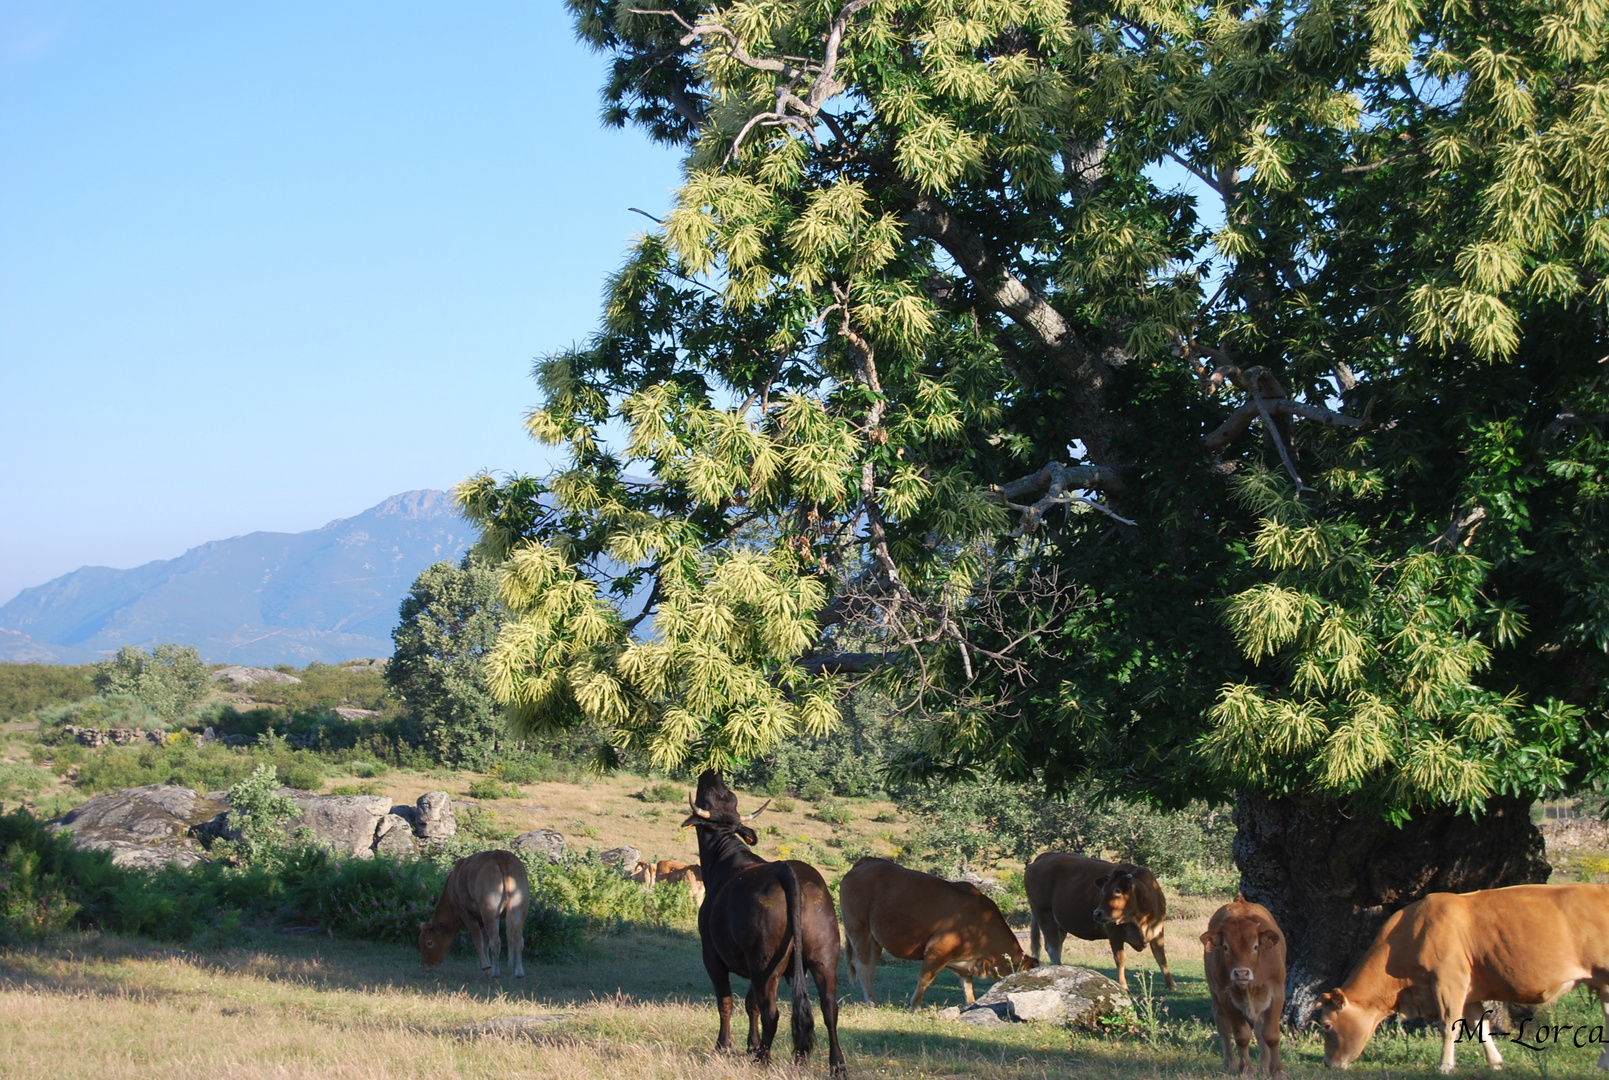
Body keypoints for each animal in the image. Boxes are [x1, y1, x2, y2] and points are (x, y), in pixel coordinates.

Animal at [685, 772, 849, 1075]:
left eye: (707, 795)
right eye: (726, 794)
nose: (712, 772)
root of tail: (788, 868)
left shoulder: (712, 955)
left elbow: (726, 1002)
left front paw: (724, 1046)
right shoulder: (751, 966)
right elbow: (751, 1004)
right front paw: (751, 1043)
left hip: (765, 962)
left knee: (772, 1012)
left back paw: (763, 1058)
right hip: (823, 956)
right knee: (829, 1009)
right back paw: (832, 1064)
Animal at [843, 856, 1029, 1010]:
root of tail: (867, 861)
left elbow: (967, 984)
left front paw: (971, 1004)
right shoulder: (937, 950)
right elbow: (925, 979)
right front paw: (915, 1006)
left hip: (875, 940)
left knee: (871, 966)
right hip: (858, 929)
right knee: (862, 965)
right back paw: (871, 1002)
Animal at [1023, 856, 1177, 991]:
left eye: (1117, 891)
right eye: (1102, 891)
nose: (1096, 913)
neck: (1141, 918)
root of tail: (1044, 857)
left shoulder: (1158, 929)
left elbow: (1161, 957)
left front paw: (1171, 985)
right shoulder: (1114, 931)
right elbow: (1120, 959)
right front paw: (1124, 986)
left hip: (1059, 924)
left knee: (1057, 947)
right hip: (1044, 914)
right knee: (1052, 948)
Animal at [1203, 894, 1287, 1080]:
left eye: (1255, 946)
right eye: (1225, 947)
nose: (1241, 973)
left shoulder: (1277, 994)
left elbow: (1270, 1035)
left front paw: (1277, 1070)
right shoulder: (1226, 998)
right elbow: (1241, 1036)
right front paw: (1247, 1069)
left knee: (1260, 1030)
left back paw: (1264, 1066)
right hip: (1216, 995)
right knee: (1223, 1026)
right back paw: (1231, 1064)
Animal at [1319, 888, 1609, 1075]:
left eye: (1327, 1025)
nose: (1328, 1064)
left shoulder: (1449, 982)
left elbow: (1449, 1026)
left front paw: (1445, 1066)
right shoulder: (1468, 992)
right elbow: (1480, 1026)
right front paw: (1496, 1062)